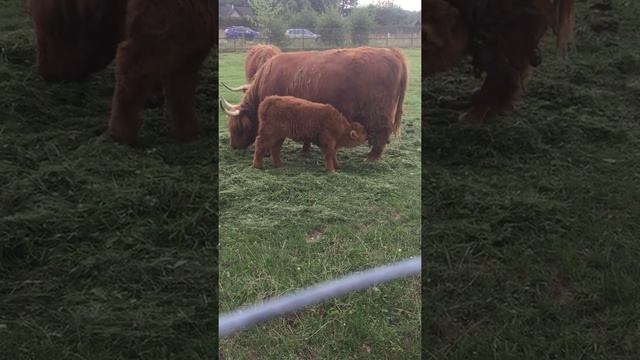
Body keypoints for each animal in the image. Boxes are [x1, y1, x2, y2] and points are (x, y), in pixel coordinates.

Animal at [222, 46, 408, 160]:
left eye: (237, 127)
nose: (233, 146)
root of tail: (392, 52)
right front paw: (305, 149)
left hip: (379, 112)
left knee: (383, 133)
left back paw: (371, 158)